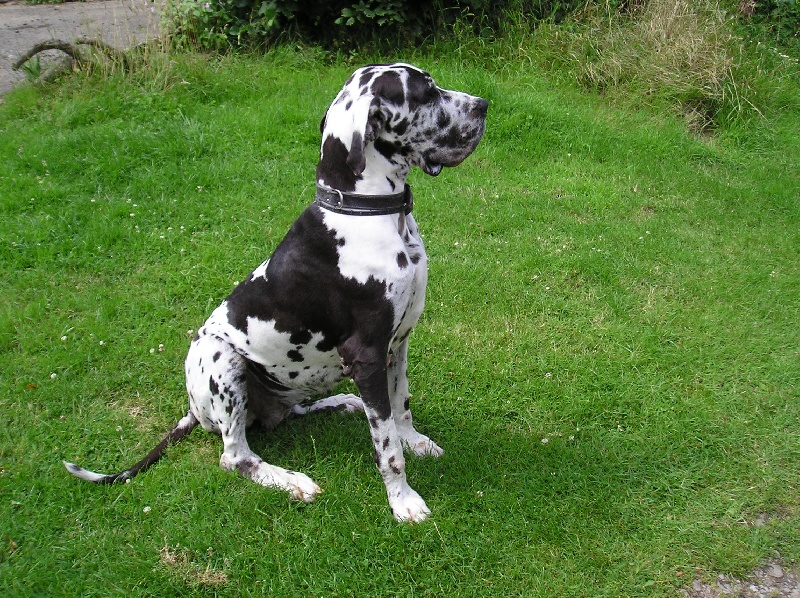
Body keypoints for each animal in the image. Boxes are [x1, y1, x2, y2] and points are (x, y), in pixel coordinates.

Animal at [64, 63, 487, 523]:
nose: (483, 105)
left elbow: (400, 402)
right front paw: (403, 500)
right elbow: (386, 446)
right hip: (222, 359)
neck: (364, 210)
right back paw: (289, 479)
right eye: (426, 92)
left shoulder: (399, 341)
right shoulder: (368, 353)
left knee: (294, 411)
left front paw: (415, 439)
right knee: (235, 456)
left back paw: (342, 402)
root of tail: (193, 409)